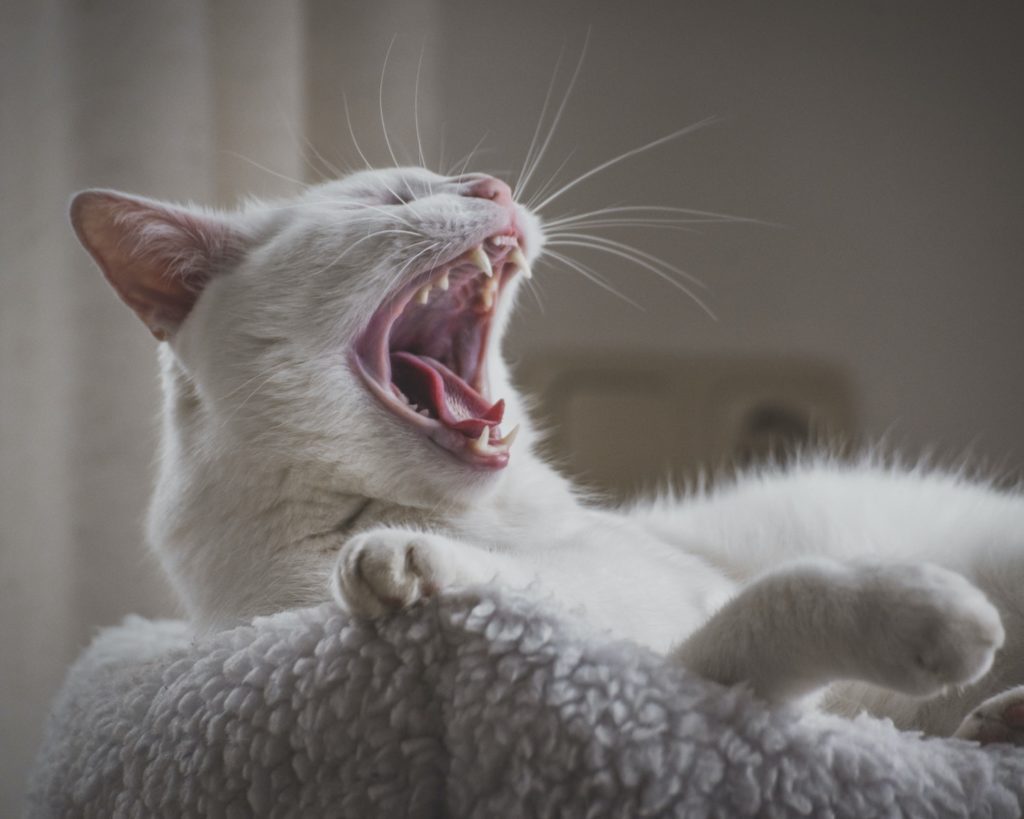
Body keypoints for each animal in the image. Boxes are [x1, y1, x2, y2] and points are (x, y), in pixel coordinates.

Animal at [70, 165, 1024, 741]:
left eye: (461, 180)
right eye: (394, 198)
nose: (492, 183)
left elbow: (761, 601)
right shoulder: (652, 683)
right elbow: (747, 618)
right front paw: (407, 572)